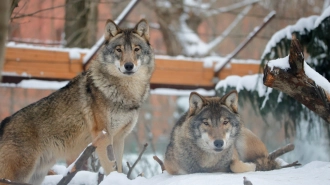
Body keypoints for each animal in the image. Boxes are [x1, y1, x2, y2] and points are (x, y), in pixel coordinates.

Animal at [0, 18, 155, 184]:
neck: (127, 93)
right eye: (118, 50)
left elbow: (118, 169)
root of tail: (5, 123)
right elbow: (111, 169)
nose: (128, 66)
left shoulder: (119, 138)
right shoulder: (103, 137)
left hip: (36, 176)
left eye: (136, 49)